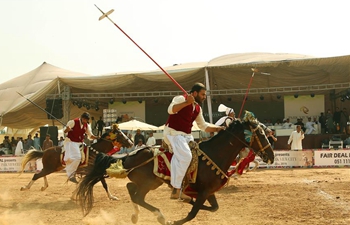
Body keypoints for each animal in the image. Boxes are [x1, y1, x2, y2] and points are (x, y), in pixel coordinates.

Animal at [75, 111, 274, 225]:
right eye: (260, 133)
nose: (271, 156)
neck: (215, 154)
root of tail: (129, 157)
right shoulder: (204, 191)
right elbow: (192, 214)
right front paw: (176, 215)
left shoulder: (208, 191)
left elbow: (212, 208)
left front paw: (186, 199)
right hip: (149, 183)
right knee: (137, 196)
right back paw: (160, 216)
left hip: (150, 183)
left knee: (131, 190)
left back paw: (137, 216)